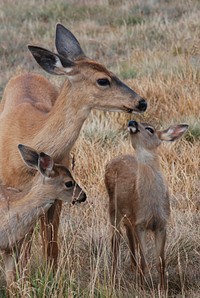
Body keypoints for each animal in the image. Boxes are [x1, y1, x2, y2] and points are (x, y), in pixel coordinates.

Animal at [0, 23, 147, 266]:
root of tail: (28, 73)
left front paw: (50, 272)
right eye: (103, 80)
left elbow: (51, 245)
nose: (141, 102)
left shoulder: (59, 190)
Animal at [105, 120, 188, 290]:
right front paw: (142, 287)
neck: (152, 205)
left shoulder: (161, 224)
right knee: (115, 241)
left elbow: (161, 262)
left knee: (128, 233)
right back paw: (114, 277)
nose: (132, 121)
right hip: (113, 208)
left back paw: (132, 267)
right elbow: (144, 260)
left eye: (150, 129)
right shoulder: (141, 223)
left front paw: (163, 288)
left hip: (128, 216)